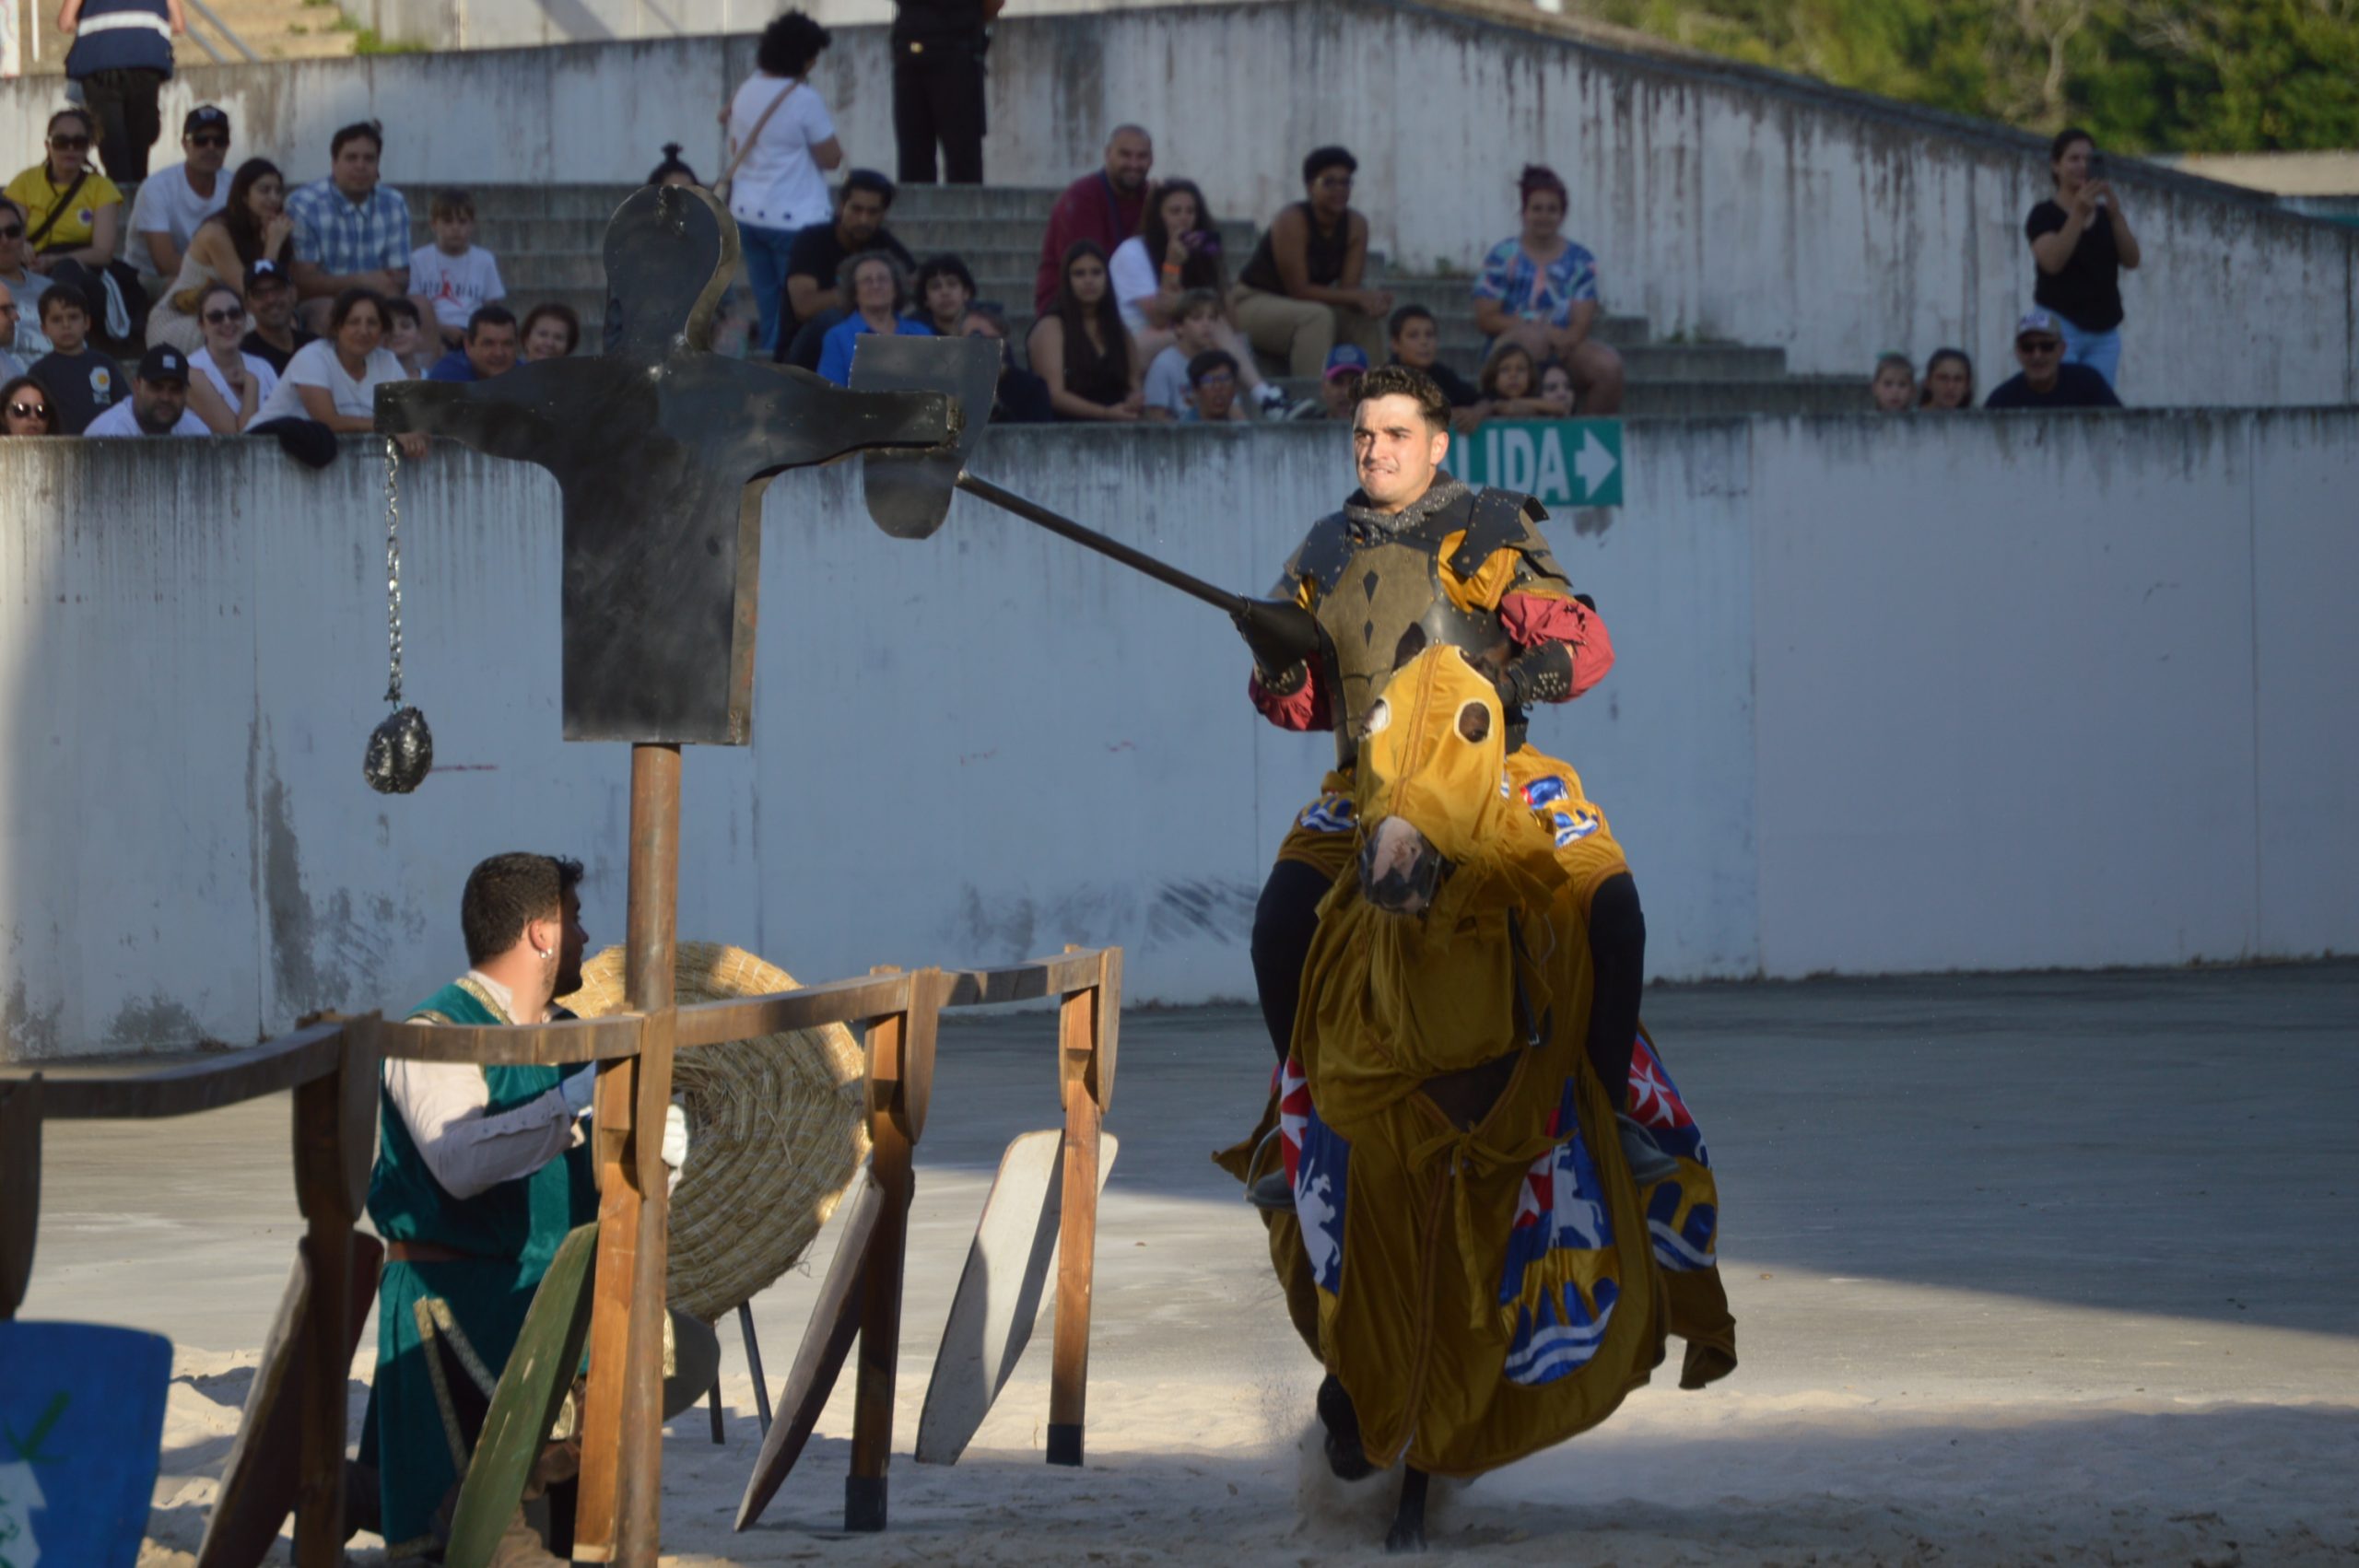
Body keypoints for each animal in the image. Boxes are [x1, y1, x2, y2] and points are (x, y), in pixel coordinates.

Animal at [1236, 641, 1736, 1546]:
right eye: (1374, 718)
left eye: (1478, 723)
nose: (1394, 870)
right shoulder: (1375, 1194)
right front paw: (1352, 1438)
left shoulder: (1484, 1199)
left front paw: (1403, 1500)